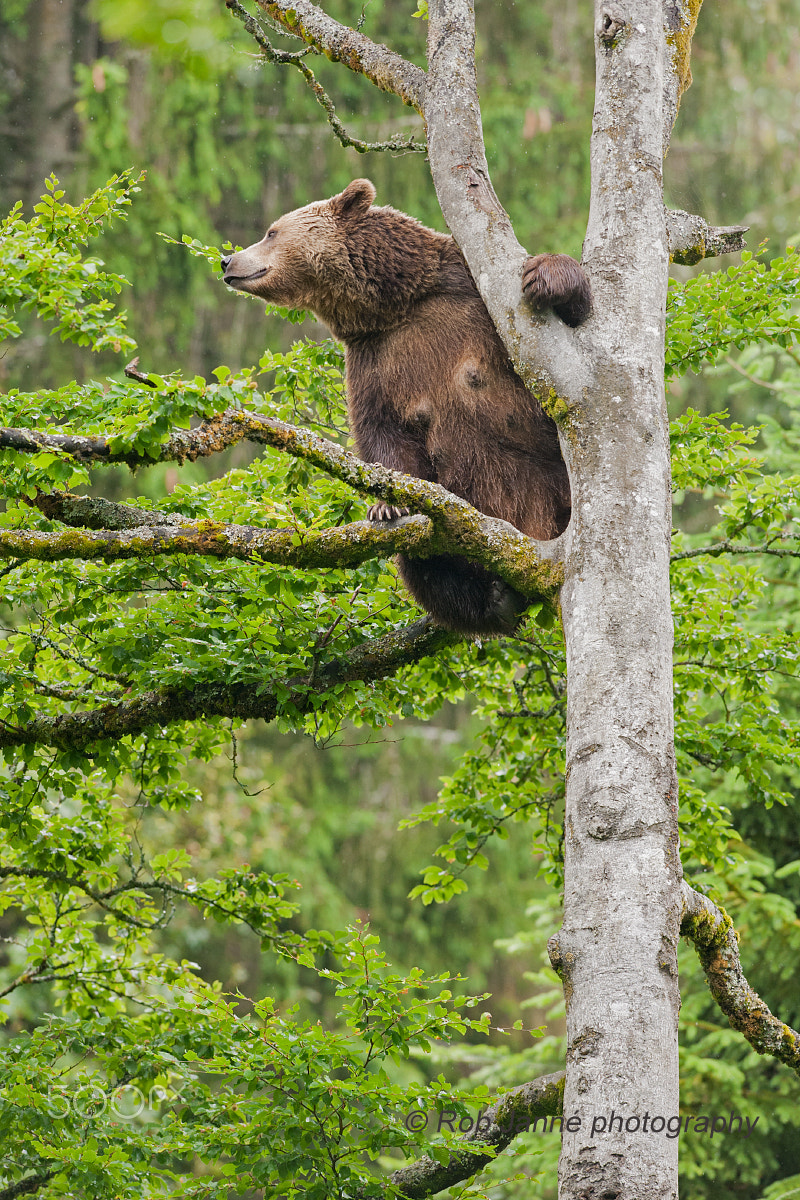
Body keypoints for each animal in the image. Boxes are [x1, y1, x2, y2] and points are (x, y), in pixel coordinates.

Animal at [221, 178, 592, 638]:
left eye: (272, 232)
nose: (228, 259)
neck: (396, 302)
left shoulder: (475, 300)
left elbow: (577, 336)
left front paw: (546, 275)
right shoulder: (375, 359)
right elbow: (384, 433)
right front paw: (387, 505)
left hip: (552, 487)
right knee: (423, 566)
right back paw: (493, 599)